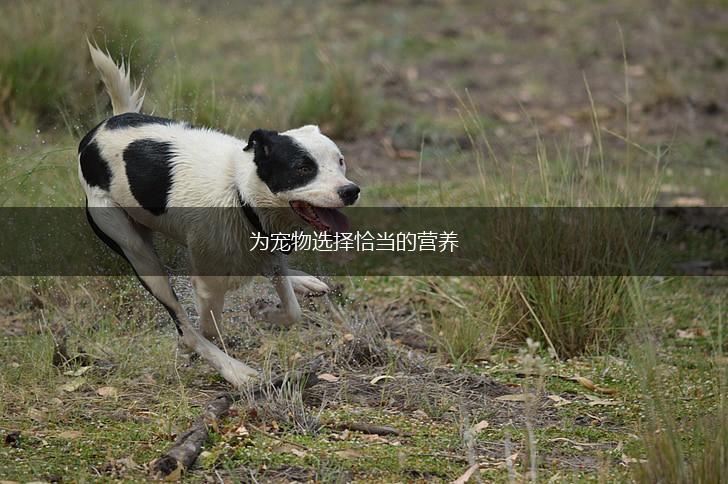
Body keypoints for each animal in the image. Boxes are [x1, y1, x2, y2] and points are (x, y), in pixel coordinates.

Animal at [80, 43, 362, 388]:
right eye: (303, 168)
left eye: (340, 161)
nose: (351, 191)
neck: (241, 193)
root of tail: (99, 130)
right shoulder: (208, 283)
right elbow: (208, 329)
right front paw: (229, 355)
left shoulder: (269, 250)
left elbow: (291, 309)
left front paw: (266, 312)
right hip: (136, 251)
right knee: (184, 325)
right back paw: (231, 368)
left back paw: (303, 281)